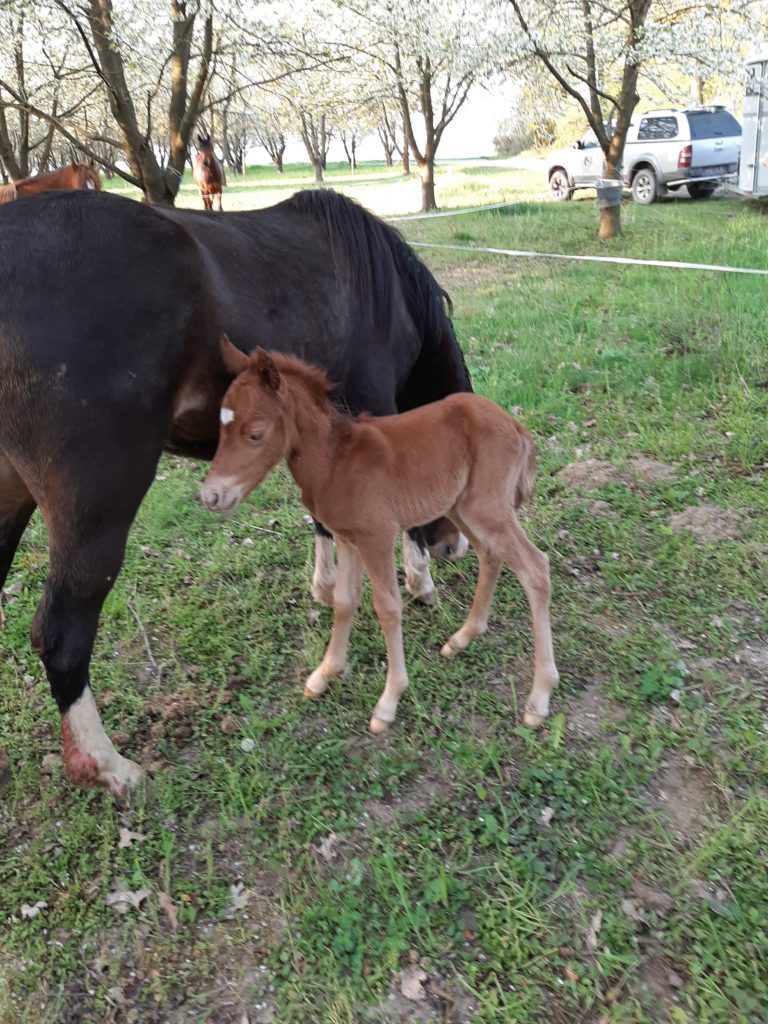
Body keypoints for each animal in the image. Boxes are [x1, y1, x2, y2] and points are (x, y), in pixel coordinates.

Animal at [202, 339, 561, 733]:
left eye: (255, 434)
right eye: (220, 429)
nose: (211, 496)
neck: (335, 461)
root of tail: (515, 425)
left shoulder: (377, 537)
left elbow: (388, 608)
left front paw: (389, 701)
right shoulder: (347, 538)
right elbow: (344, 601)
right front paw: (324, 674)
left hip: (486, 508)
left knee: (535, 569)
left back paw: (540, 696)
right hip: (461, 508)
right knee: (490, 555)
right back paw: (463, 637)